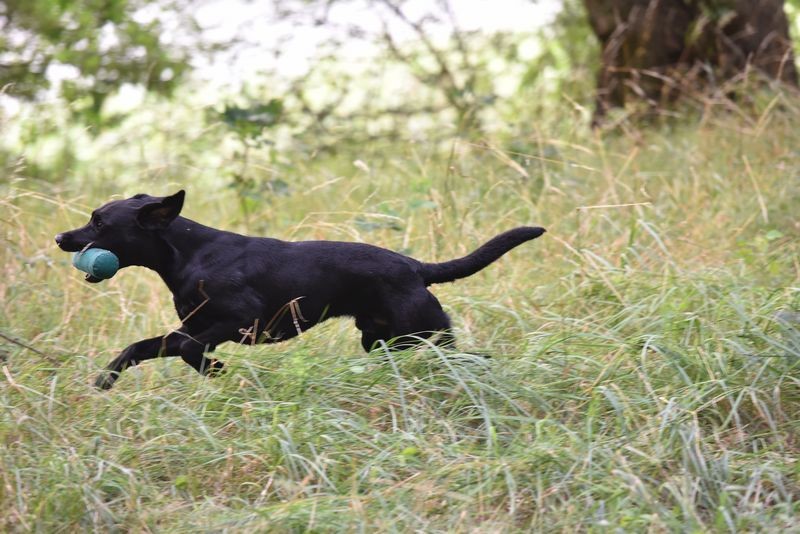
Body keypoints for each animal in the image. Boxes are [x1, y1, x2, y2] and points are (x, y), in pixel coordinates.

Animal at [54, 192, 544, 390]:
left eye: (99, 222)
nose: (61, 237)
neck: (189, 255)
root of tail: (415, 267)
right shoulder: (196, 325)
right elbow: (142, 346)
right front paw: (105, 380)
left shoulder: (239, 319)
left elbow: (186, 347)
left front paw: (216, 370)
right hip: (383, 340)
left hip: (422, 333)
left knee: (469, 356)